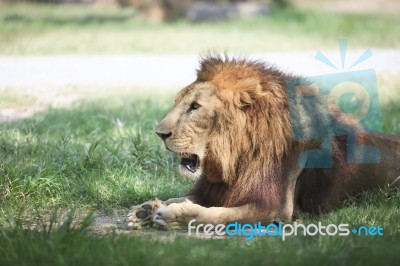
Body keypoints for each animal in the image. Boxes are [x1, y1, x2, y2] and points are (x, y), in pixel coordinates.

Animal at [126, 55, 400, 229]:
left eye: (195, 107)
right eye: (178, 102)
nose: (159, 133)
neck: (236, 157)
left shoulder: (275, 208)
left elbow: (217, 216)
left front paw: (174, 216)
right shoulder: (215, 190)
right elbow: (178, 197)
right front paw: (145, 209)